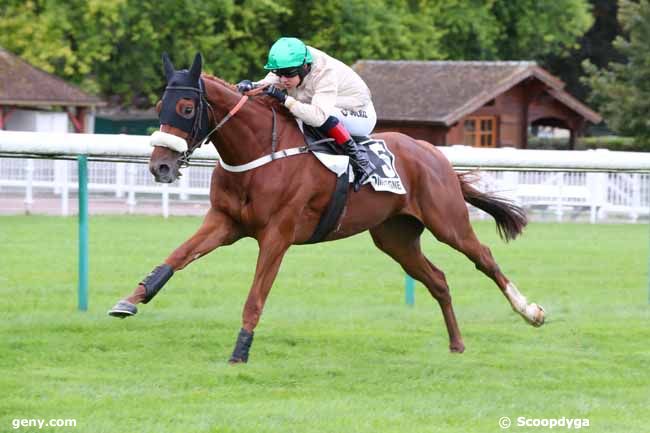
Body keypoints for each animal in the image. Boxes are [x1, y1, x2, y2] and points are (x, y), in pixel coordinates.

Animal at [107, 54, 540, 364]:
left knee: (484, 257)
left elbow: (255, 296)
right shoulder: (225, 221)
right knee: (438, 280)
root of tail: (434, 154)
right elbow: (176, 257)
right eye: (159, 105)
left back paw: (530, 311)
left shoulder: (277, 235)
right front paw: (129, 300)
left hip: (447, 221)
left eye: (184, 107)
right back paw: (457, 344)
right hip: (395, 237)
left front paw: (240, 352)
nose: (160, 167)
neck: (258, 152)